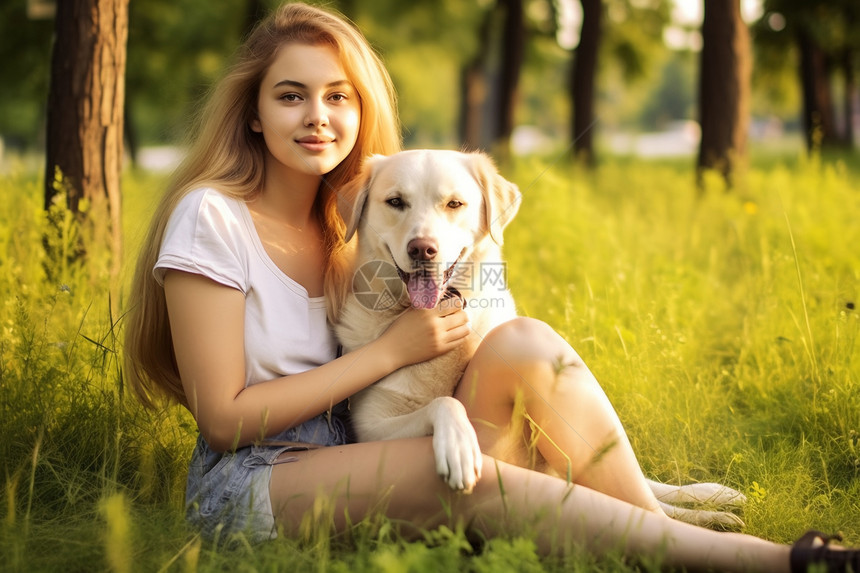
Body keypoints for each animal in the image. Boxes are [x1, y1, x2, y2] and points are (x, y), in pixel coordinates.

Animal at [336, 151, 744, 528]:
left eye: (454, 204)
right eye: (395, 202)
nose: (422, 249)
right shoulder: (369, 429)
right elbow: (444, 402)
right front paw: (459, 446)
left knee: (649, 488)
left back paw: (715, 499)